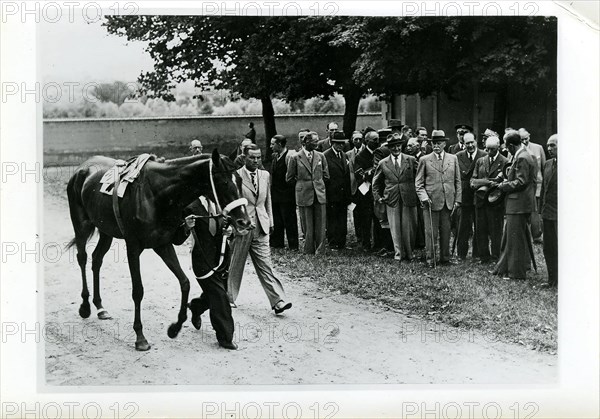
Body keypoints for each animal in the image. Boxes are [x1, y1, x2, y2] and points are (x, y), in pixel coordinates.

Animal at [66, 151, 251, 352]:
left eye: (240, 180)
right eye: (223, 182)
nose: (244, 222)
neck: (156, 194)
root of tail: (83, 168)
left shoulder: (163, 244)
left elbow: (185, 282)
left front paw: (175, 328)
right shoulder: (133, 247)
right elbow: (138, 291)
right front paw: (140, 338)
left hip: (106, 230)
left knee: (97, 259)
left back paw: (100, 307)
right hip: (81, 224)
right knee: (82, 258)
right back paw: (85, 306)